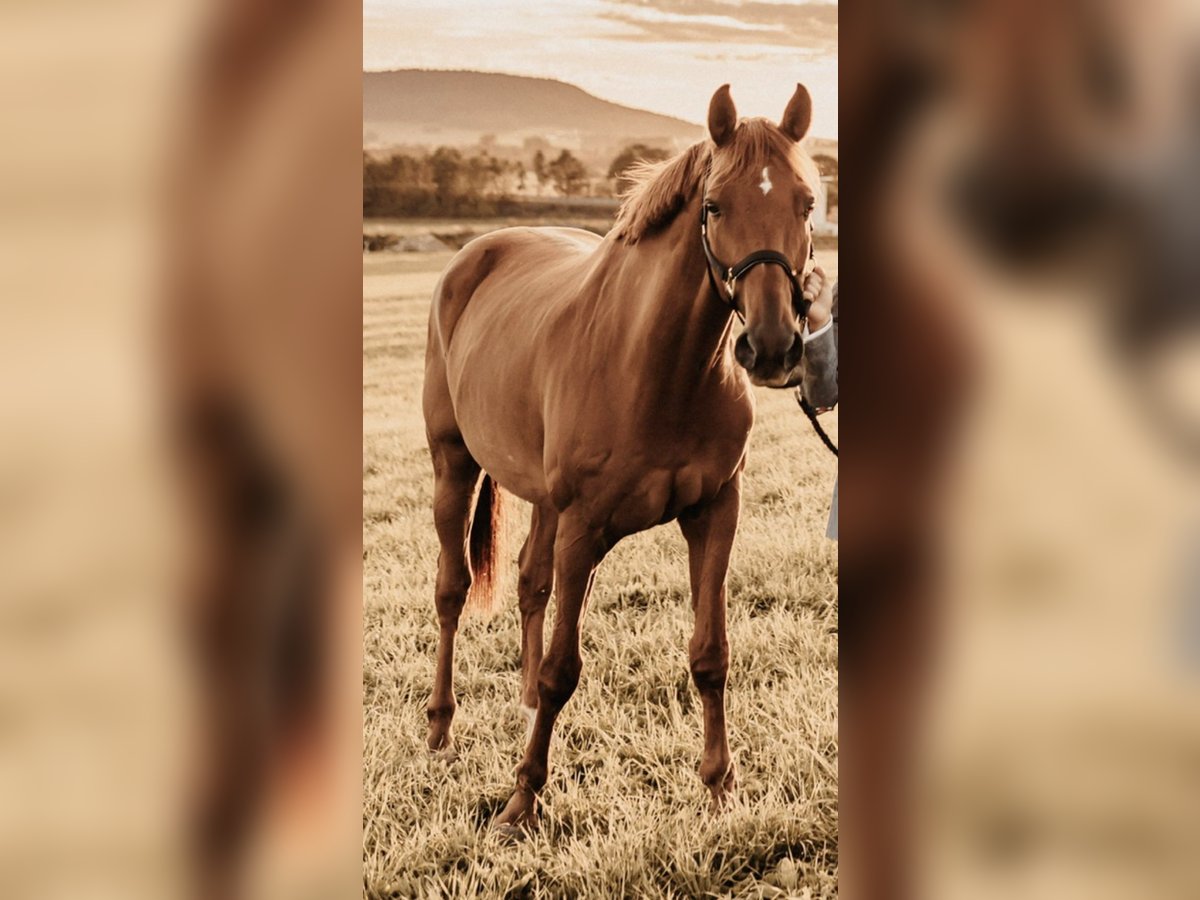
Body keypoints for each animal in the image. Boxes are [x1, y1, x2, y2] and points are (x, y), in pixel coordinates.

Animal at [422, 83, 834, 832]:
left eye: (807, 203)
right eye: (714, 205)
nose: (771, 347)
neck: (655, 368)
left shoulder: (714, 513)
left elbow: (710, 654)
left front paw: (719, 788)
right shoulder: (585, 526)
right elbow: (563, 667)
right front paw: (523, 798)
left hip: (543, 501)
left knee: (529, 580)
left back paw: (521, 702)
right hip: (453, 465)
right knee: (452, 589)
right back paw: (440, 726)